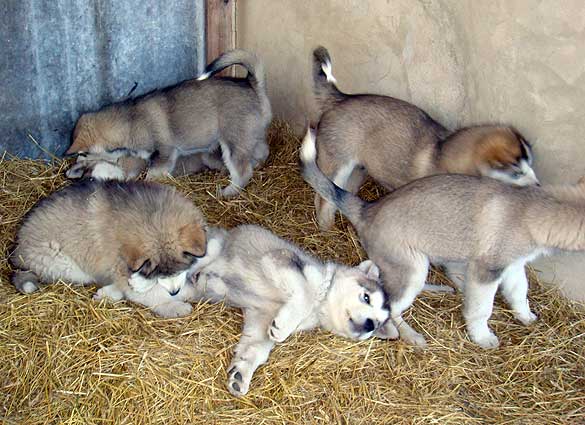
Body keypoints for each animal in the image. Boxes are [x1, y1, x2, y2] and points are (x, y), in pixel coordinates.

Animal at [9, 178, 208, 314]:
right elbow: (148, 293)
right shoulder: (118, 264)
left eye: (180, 268)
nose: (174, 292)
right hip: (66, 264)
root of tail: (17, 251)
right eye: (158, 273)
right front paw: (174, 306)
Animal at [66, 48, 272, 196]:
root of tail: (252, 84)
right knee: (262, 150)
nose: (72, 163)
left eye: (82, 152)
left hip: (232, 144)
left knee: (242, 172)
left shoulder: (164, 153)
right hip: (249, 137)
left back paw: (228, 192)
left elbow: (151, 174)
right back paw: (258, 163)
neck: (131, 120)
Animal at [302, 127, 584, 350]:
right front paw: (483, 338)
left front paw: (526, 317)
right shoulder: (487, 271)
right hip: (413, 270)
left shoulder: (513, 266)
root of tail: (367, 209)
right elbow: (481, 308)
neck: (534, 209)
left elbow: (519, 292)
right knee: (391, 309)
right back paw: (409, 335)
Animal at [310, 45, 540, 229]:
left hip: (357, 169)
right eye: (517, 172)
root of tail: (339, 98)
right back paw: (325, 227)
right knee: (323, 198)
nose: (538, 186)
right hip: (338, 165)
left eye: (530, 164)